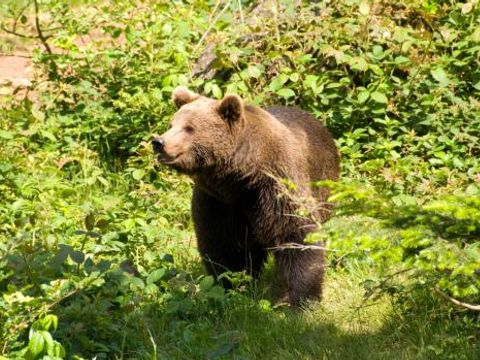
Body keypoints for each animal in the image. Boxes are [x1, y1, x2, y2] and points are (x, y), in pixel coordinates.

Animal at [152, 87, 340, 306]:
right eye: (171, 124)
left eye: (189, 128)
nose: (159, 142)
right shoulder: (218, 201)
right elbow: (224, 244)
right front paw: (232, 286)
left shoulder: (276, 186)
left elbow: (297, 234)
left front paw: (301, 298)